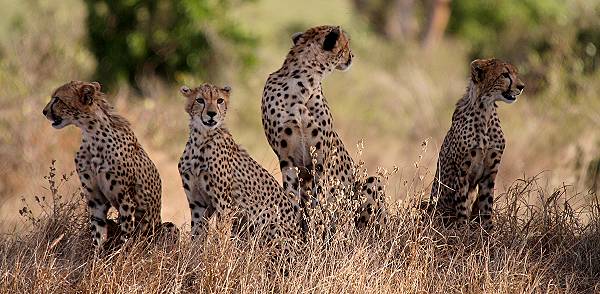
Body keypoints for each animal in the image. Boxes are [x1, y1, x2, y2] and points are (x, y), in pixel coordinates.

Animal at [41, 80, 173, 248]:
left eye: (57, 99)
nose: (44, 111)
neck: (92, 135)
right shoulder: (96, 200)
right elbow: (97, 232)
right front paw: (96, 254)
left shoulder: (126, 199)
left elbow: (126, 235)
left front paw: (121, 253)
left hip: (164, 228)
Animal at [176, 83, 302, 250]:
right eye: (200, 100)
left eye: (220, 100)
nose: (211, 114)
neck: (201, 139)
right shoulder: (198, 204)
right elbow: (197, 236)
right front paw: (194, 256)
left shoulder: (224, 204)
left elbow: (220, 235)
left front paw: (219, 255)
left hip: (266, 219)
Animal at [262, 24, 384, 232]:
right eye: (346, 44)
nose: (353, 56)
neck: (302, 84)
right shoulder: (286, 158)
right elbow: (293, 197)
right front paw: (297, 229)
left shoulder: (320, 159)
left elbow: (318, 201)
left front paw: (316, 230)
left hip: (370, 187)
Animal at [432, 59, 524, 230]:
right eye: (505, 74)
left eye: (516, 73)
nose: (522, 86)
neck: (486, 111)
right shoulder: (462, 171)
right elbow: (462, 204)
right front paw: (462, 231)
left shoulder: (490, 173)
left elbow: (486, 205)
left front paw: (488, 231)